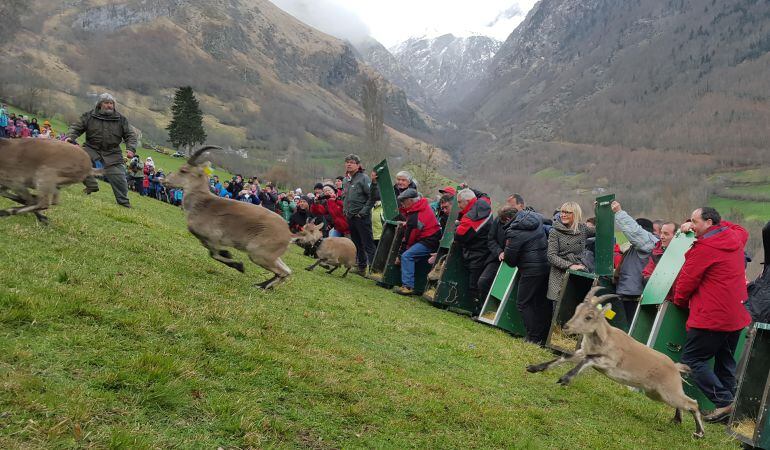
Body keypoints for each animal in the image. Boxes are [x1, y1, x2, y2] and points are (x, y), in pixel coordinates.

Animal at [164, 146, 292, 290]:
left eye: (183, 170)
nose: (165, 181)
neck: (202, 204)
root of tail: (289, 235)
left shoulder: (214, 237)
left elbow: (213, 254)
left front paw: (239, 266)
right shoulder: (205, 239)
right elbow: (213, 251)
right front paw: (227, 253)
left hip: (259, 253)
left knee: (282, 272)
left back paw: (262, 287)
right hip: (270, 255)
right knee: (287, 271)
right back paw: (261, 285)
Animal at [524, 288, 704, 440]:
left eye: (589, 316)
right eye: (577, 309)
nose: (567, 327)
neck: (607, 337)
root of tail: (675, 368)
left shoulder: (609, 362)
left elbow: (587, 360)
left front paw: (564, 379)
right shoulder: (582, 351)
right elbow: (565, 357)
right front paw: (534, 368)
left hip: (668, 392)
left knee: (693, 403)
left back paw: (699, 433)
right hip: (656, 393)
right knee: (684, 404)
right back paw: (677, 420)